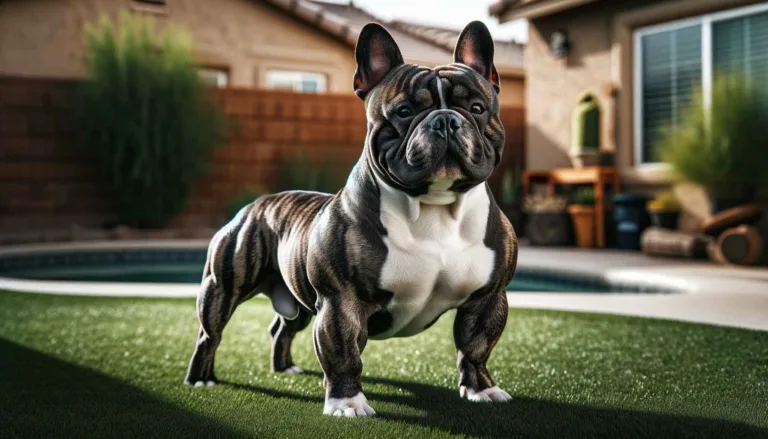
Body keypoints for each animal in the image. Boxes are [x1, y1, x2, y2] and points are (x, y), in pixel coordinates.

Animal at [185, 21, 520, 420]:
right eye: (404, 111)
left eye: (476, 108)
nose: (445, 120)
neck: (433, 207)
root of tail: (258, 203)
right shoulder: (339, 302)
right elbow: (343, 354)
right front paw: (347, 402)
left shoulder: (487, 299)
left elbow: (475, 346)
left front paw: (481, 388)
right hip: (223, 287)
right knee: (210, 334)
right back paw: (201, 379)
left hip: (297, 300)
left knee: (282, 328)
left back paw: (285, 367)